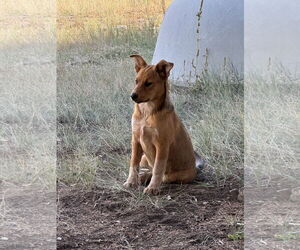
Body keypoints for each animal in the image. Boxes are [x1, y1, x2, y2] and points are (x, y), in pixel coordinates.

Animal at [122, 54, 204, 195]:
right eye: (136, 81)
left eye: (148, 83)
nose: (132, 96)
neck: (147, 112)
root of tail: (195, 168)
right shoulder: (136, 140)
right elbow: (133, 164)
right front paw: (131, 181)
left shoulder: (162, 144)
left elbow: (158, 169)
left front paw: (153, 187)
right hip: (144, 158)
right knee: (147, 169)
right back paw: (142, 177)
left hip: (175, 175)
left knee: (163, 175)